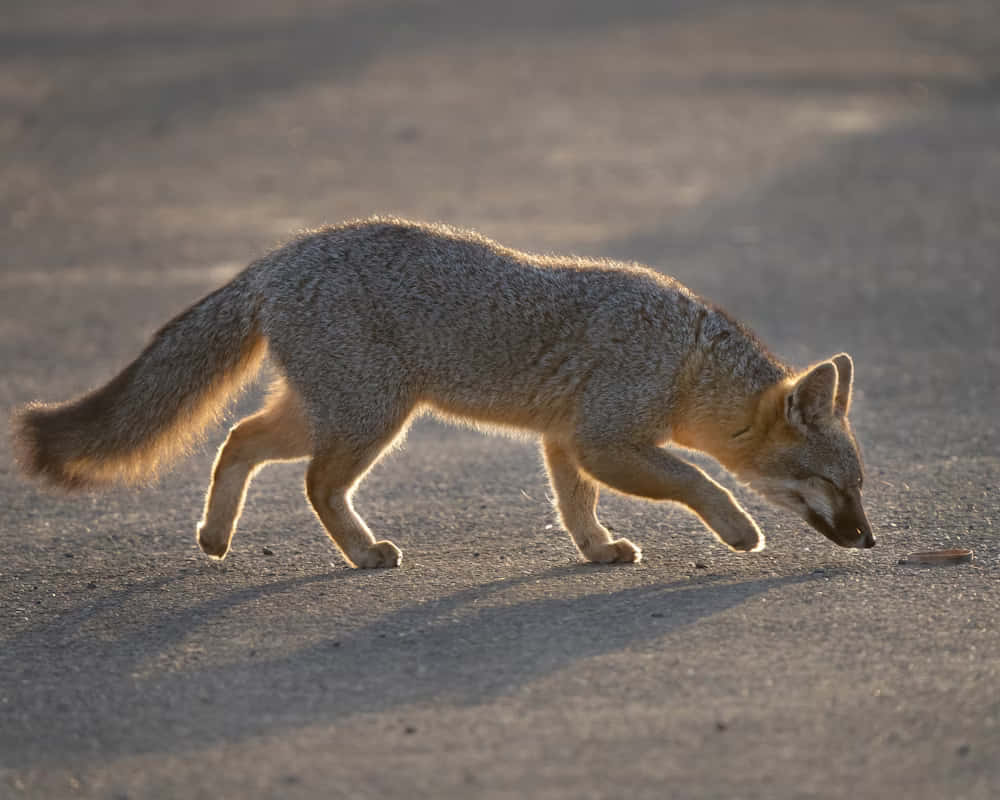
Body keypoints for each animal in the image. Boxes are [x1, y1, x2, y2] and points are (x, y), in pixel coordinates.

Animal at [7, 217, 872, 568]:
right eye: (833, 486)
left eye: (859, 487)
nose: (868, 540)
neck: (687, 356)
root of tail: (281, 256)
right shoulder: (605, 439)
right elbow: (699, 479)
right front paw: (737, 529)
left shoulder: (565, 440)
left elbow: (576, 506)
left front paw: (597, 551)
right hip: (371, 418)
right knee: (315, 484)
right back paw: (362, 553)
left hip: (327, 412)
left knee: (238, 440)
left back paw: (216, 539)